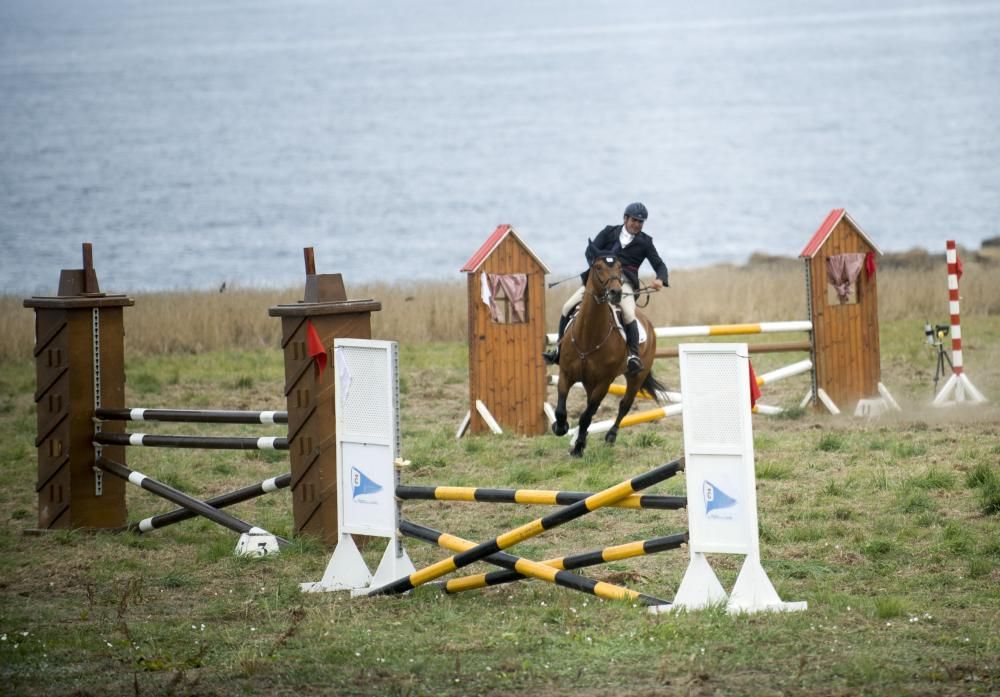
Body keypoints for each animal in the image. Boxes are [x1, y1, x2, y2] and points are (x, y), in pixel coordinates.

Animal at [552, 250, 668, 456]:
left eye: (620, 267)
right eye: (598, 267)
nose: (616, 293)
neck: (588, 336)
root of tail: (647, 323)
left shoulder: (604, 382)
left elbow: (586, 415)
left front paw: (578, 447)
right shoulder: (566, 374)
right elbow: (561, 409)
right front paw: (560, 427)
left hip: (635, 377)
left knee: (624, 405)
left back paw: (611, 435)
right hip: (589, 382)